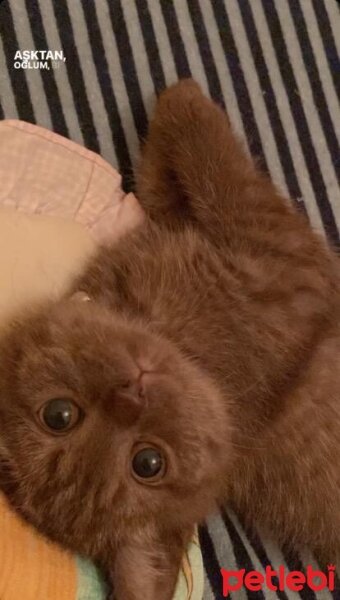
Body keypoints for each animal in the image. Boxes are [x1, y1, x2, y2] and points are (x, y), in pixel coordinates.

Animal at [0, 79, 340, 600]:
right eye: (148, 462)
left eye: (57, 416)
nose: (131, 395)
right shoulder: (278, 248)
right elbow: (200, 139)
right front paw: (188, 90)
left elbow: (168, 170)